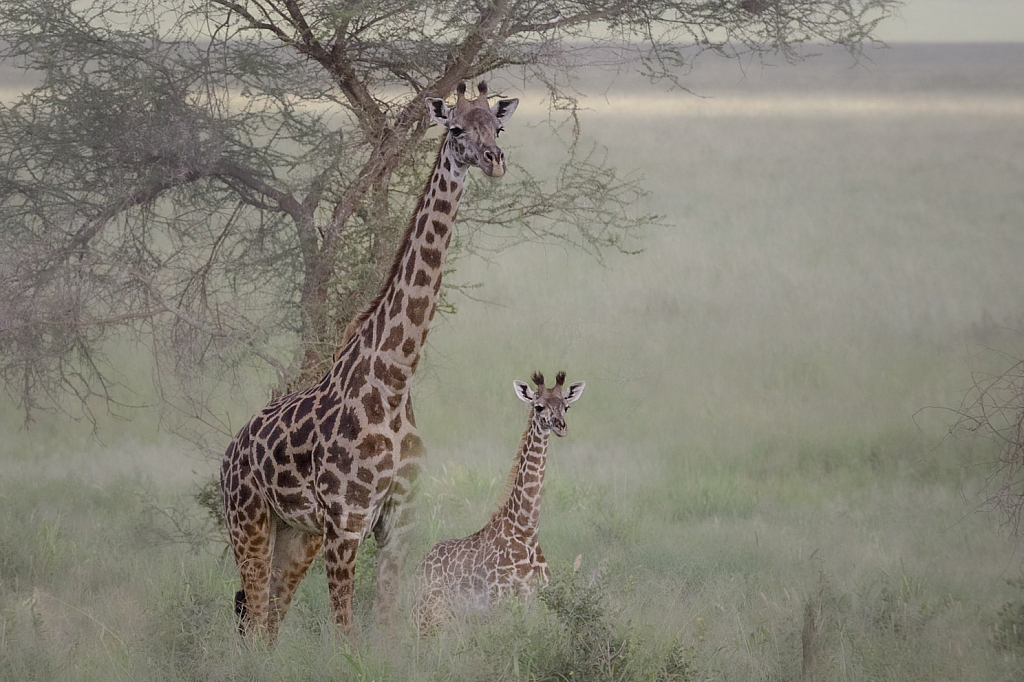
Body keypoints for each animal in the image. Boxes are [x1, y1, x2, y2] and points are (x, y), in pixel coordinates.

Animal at [220, 82, 516, 638]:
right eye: (455, 128)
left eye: (498, 125)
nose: (495, 161)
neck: (394, 380)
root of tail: (228, 453)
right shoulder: (347, 522)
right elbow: (347, 636)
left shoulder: (396, 521)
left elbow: (385, 629)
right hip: (249, 522)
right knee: (254, 621)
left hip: (297, 535)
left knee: (268, 624)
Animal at [413, 368, 585, 630]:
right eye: (539, 406)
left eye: (566, 406)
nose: (561, 427)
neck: (526, 530)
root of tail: (420, 565)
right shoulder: (499, 601)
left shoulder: (537, 599)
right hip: (431, 612)